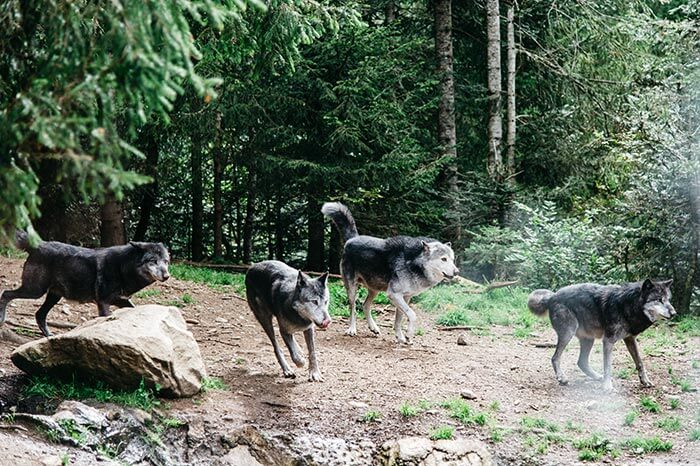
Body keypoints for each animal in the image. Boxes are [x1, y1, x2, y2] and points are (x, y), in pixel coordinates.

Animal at [0, 233, 170, 338]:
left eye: (166, 261)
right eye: (153, 261)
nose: (167, 276)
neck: (122, 268)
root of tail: (39, 244)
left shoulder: (122, 300)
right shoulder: (103, 302)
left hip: (53, 296)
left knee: (39, 315)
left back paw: (49, 336)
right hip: (35, 291)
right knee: (6, 293)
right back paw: (2, 319)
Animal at [322, 202, 460, 344]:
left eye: (452, 259)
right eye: (443, 259)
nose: (457, 272)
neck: (413, 263)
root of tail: (352, 239)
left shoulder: (405, 297)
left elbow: (399, 320)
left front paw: (401, 338)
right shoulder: (394, 294)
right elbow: (412, 315)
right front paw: (408, 335)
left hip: (375, 290)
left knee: (365, 306)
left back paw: (374, 328)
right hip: (352, 289)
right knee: (353, 308)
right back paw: (352, 330)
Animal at [532, 278, 672, 392]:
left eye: (668, 300)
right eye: (659, 300)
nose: (674, 312)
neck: (628, 304)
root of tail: (552, 296)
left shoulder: (630, 339)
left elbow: (640, 362)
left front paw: (645, 381)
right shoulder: (608, 340)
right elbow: (608, 366)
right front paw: (607, 386)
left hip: (589, 340)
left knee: (581, 362)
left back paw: (597, 376)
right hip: (568, 333)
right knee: (555, 358)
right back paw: (562, 378)